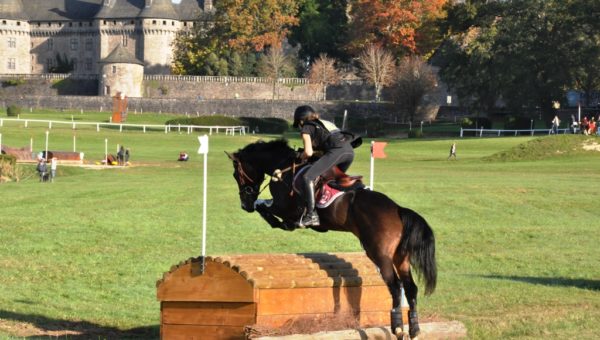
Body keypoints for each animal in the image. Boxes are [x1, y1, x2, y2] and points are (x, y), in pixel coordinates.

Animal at [225, 138, 436, 338]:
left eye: (236, 174)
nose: (245, 205)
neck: (283, 167)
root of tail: (398, 210)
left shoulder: (284, 207)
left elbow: (264, 206)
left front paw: (284, 223)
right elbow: (264, 205)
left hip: (379, 254)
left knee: (396, 286)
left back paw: (398, 327)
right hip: (401, 257)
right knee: (410, 287)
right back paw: (414, 329)